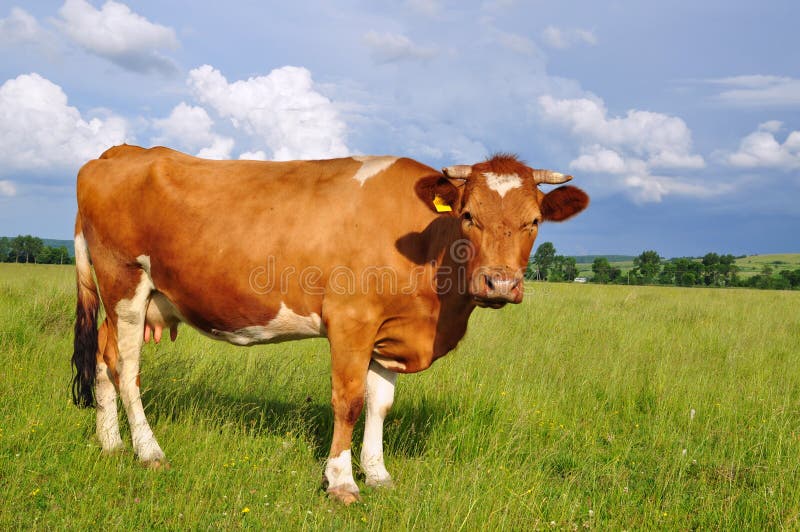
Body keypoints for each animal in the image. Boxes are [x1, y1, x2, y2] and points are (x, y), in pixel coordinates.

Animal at [73, 144, 588, 502]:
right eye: (468, 215)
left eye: (535, 221)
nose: (499, 283)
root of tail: (120, 151)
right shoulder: (351, 321)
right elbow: (349, 402)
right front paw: (341, 481)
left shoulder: (387, 331)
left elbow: (380, 406)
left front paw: (378, 474)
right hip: (124, 280)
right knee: (128, 371)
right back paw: (148, 451)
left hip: (129, 298)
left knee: (103, 360)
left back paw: (110, 443)